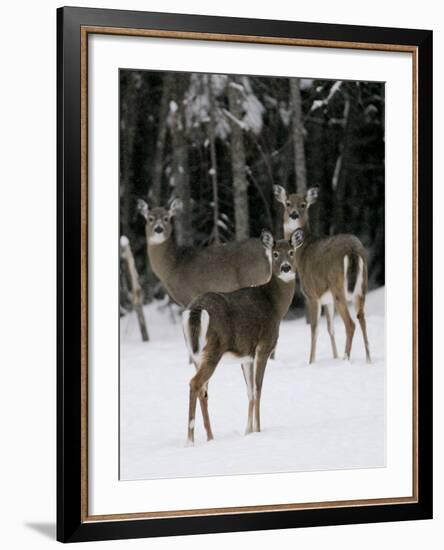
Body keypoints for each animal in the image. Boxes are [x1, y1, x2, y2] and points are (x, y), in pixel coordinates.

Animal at [137, 199, 272, 310]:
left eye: (166, 218)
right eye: (150, 218)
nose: (158, 229)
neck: (173, 265)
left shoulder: (189, 294)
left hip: (253, 278)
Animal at [182, 227, 304, 444]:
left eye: (291, 252)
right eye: (275, 254)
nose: (286, 268)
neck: (274, 305)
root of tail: (196, 309)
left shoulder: (246, 355)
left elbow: (250, 392)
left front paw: (247, 431)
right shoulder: (264, 346)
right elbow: (258, 389)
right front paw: (258, 430)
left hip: (195, 352)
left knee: (203, 390)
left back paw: (210, 437)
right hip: (213, 348)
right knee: (195, 383)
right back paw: (190, 440)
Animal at [274, 185, 372, 366]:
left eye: (303, 204)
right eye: (288, 203)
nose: (293, 215)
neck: (302, 253)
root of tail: (352, 250)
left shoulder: (311, 294)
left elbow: (314, 329)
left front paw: (311, 361)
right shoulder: (327, 299)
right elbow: (330, 328)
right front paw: (333, 356)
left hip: (338, 287)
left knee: (350, 324)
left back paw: (346, 358)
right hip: (361, 287)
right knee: (361, 318)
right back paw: (367, 359)